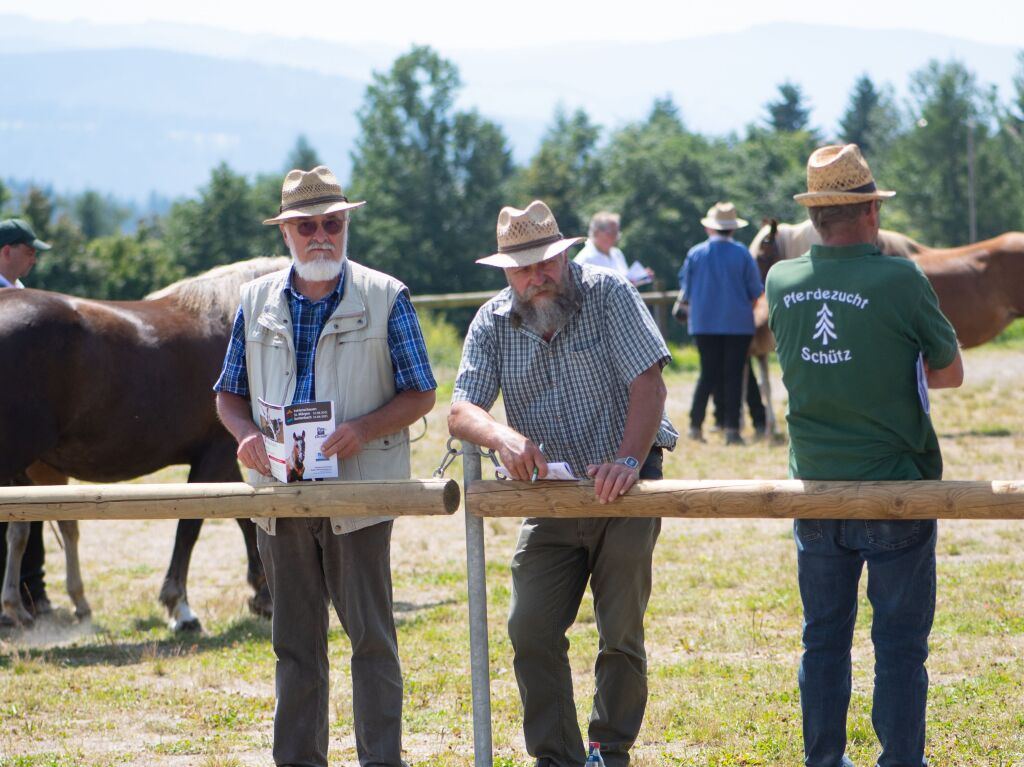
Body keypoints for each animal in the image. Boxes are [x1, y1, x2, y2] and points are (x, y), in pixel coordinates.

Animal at [1, 256, 288, 626]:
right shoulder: (216, 454)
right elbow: (190, 527)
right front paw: (180, 606)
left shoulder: (224, 457)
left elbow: (243, 516)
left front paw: (262, 594)